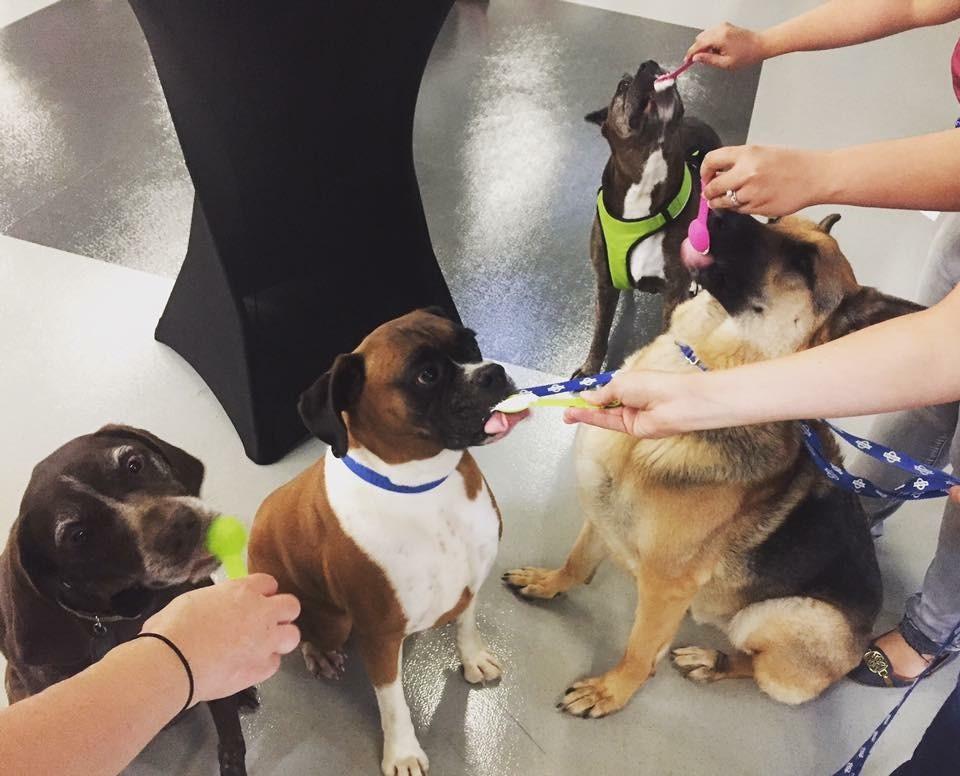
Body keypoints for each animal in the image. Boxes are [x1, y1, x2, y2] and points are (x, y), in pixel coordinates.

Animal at [248, 310, 524, 776]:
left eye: (470, 344)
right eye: (426, 375)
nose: (493, 373)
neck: (423, 486)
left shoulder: (470, 583)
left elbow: (467, 624)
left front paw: (472, 658)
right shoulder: (378, 634)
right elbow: (393, 701)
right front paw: (403, 751)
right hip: (332, 620)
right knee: (310, 632)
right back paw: (319, 654)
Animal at [506, 211, 920, 716]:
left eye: (803, 263)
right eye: (776, 219)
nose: (719, 212)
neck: (692, 368)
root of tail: (862, 647)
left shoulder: (668, 586)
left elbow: (640, 651)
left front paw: (611, 691)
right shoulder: (602, 516)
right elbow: (577, 561)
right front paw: (550, 582)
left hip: (785, 616)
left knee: (756, 666)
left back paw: (711, 660)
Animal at [568, 59, 720, 376]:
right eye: (622, 86)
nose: (649, 63)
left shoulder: (673, 293)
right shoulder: (604, 283)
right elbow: (600, 332)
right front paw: (589, 370)